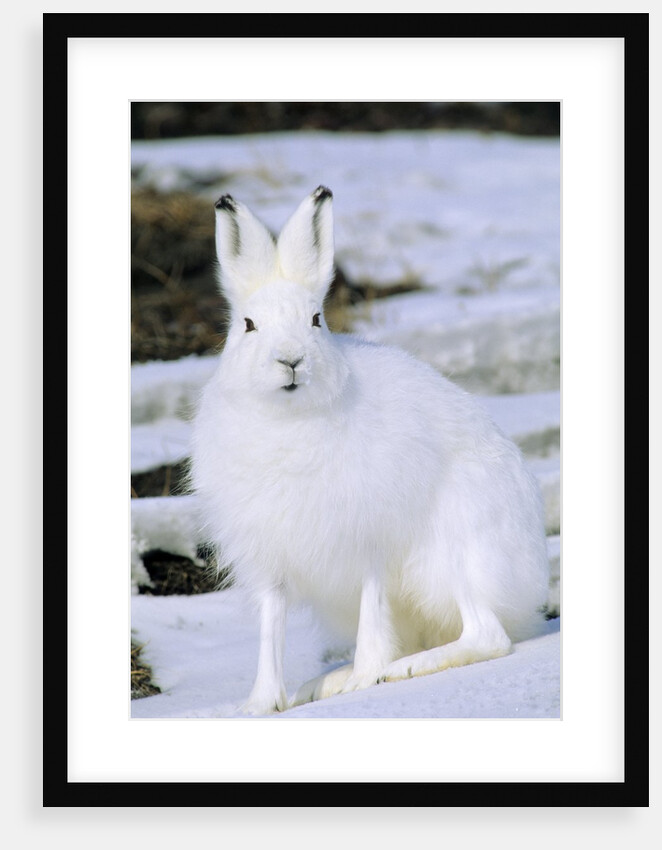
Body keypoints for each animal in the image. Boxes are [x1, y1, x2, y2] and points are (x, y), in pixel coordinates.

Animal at [190, 186, 550, 715]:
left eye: (316, 320)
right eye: (249, 326)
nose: (291, 360)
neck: (289, 420)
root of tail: (529, 591)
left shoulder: (368, 540)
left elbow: (372, 607)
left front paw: (366, 678)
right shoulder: (271, 557)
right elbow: (271, 626)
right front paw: (260, 705)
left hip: (453, 549)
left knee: (487, 634)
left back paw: (399, 670)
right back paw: (322, 683)